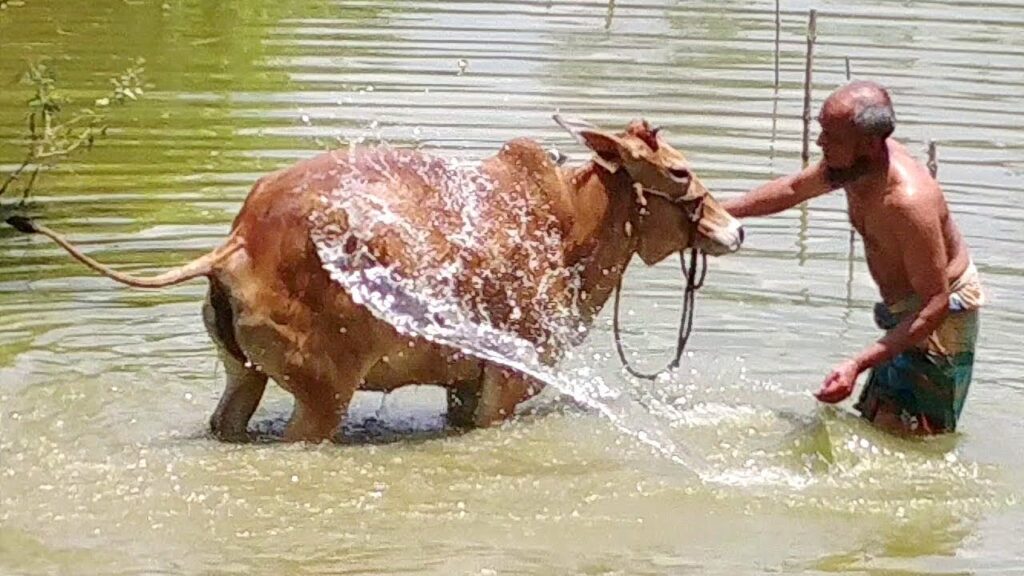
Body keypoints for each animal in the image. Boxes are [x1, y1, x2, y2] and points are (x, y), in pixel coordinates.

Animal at [8, 115, 745, 438]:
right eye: (678, 171)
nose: (734, 229)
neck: (571, 229)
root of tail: (239, 239)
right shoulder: (506, 384)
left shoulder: (465, 384)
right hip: (322, 395)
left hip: (244, 375)